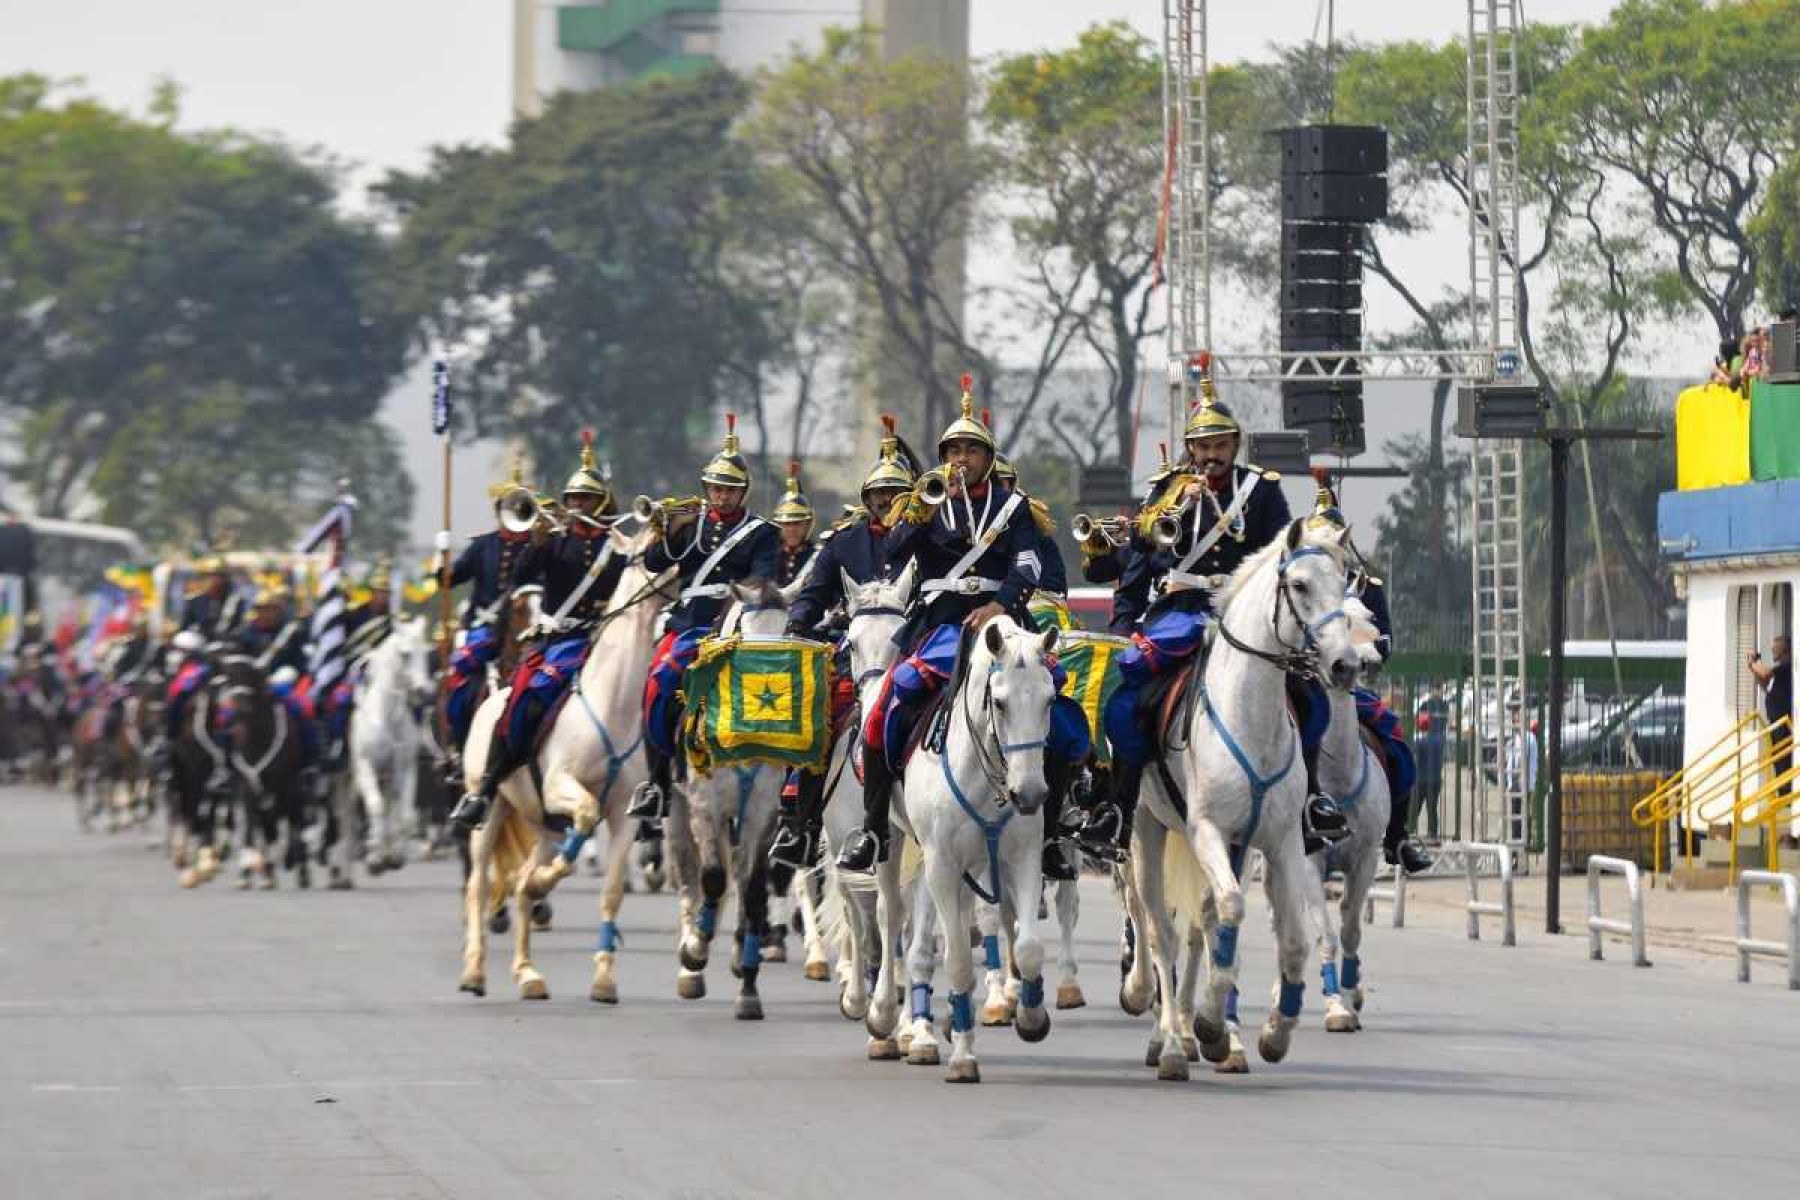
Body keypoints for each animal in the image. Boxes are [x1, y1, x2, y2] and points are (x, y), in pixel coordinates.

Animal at [351, 618, 435, 874]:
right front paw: (375, 859)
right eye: (405, 654)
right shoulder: (367, 767)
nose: (424, 693)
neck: (387, 718)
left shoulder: (405, 768)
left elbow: (405, 817)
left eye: (426, 652)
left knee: (391, 808)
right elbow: (375, 806)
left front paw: (395, 857)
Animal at [453, 528, 673, 1007]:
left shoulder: (624, 815)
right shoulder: (561, 787)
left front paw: (604, 979)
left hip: (544, 825)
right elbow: (586, 817)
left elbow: (611, 890)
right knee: (478, 886)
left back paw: (528, 973)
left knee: (518, 885)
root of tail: (492, 702)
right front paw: (546, 881)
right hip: (491, 811)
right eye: (648, 549)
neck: (612, 703)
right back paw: (474, 971)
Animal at [1116, 521, 1353, 1086]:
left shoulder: (1280, 842)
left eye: (1346, 582)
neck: (1251, 715)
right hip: (1147, 830)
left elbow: (1289, 940)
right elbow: (1229, 909)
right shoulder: (1207, 831)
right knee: (1156, 925)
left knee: (1194, 927)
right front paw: (1206, 1024)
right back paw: (1168, 1039)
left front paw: (1271, 1033)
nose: (1345, 665)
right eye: (1301, 585)